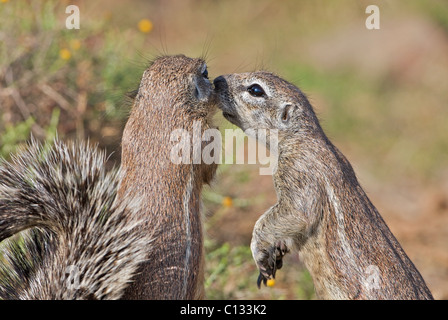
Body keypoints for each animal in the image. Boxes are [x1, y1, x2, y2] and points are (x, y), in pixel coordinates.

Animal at [214, 71, 434, 298]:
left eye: (256, 90)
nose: (217, 80)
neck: (303, 138)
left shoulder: (299, 172)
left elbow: (294, 213)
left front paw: (259, 252)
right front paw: (275, 255)